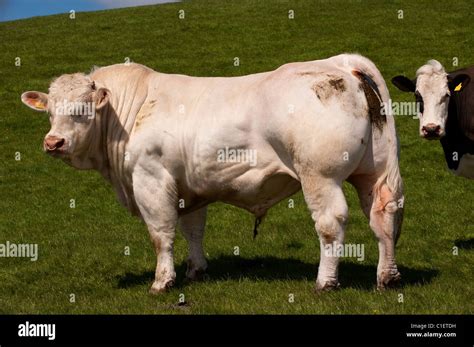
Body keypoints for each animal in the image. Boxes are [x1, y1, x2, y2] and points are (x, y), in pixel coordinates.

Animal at [21, 54, 404, 294]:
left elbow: (161, 234)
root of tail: (340, 62)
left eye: (82, 110)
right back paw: (387, 277)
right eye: (50, 112)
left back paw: (325, 282)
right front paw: (196, 271)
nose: (53, 142)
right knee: (383, 215)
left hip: (320, 176)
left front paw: (162, 282)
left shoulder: (150, 179)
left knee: (330, 224)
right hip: (374, 172)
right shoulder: (190, 187)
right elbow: (193, 230)